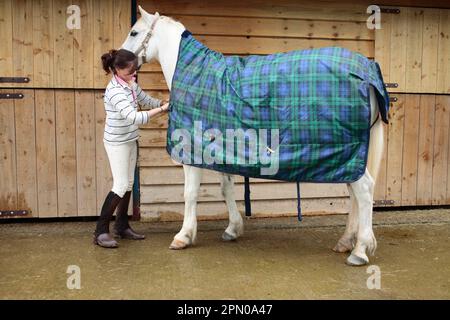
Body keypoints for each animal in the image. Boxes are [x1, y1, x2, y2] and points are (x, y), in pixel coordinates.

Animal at [121, 6, 384, 264]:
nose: (115, 61)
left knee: (364, 190)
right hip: (349, 157)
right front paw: (233, 229)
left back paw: (359, 250)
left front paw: (183, 236)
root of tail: (367, 72)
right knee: (354, 192)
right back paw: (345, 241)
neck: (194, 74)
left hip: (348, 153)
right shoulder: (221, 150)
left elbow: (190, 193)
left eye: (134, 32)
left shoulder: (192, 150)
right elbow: (226, 188)